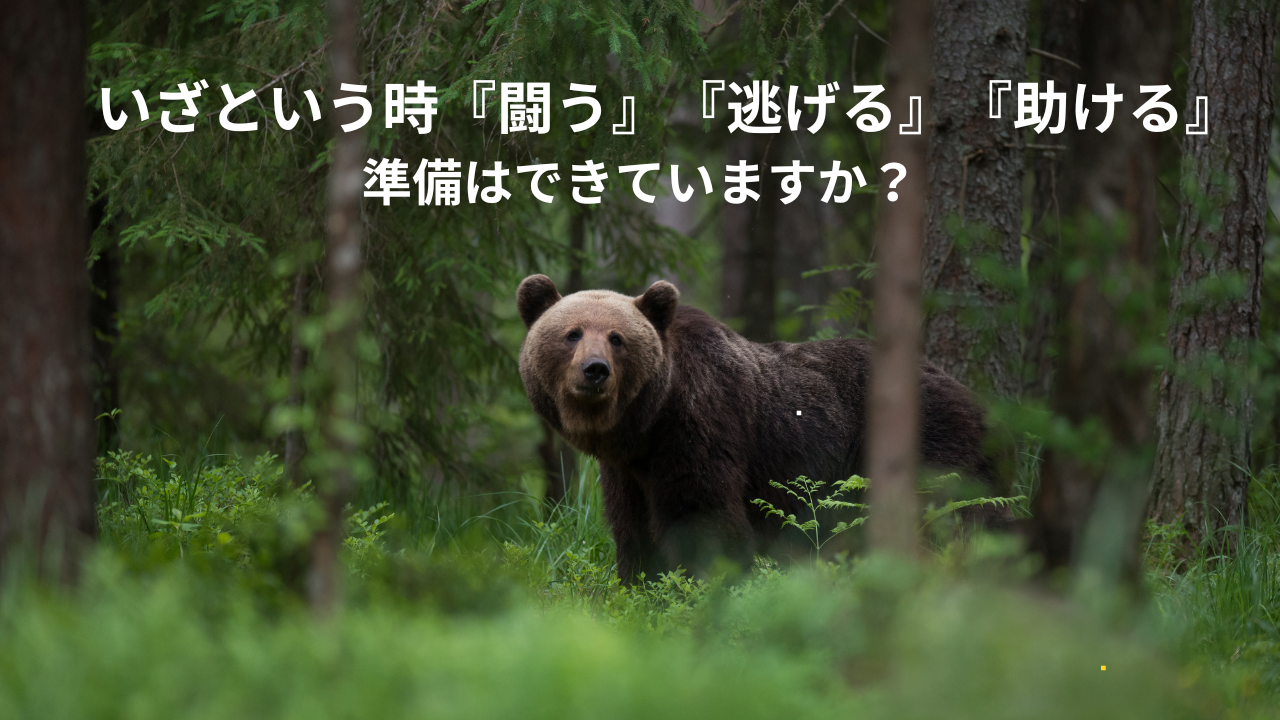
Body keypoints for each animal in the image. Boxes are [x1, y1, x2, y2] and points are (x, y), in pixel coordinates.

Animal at [517, 274, 999, 583]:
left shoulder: (700, 426)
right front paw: (640, 584)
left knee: (954, 514)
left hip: (929, 439)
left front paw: (706, 584)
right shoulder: (628, 470)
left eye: (617, 338)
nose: (595, 370)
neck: (648, 424)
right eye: (573, 333)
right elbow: (632, 527)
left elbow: (702, 514)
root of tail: (966, 391)